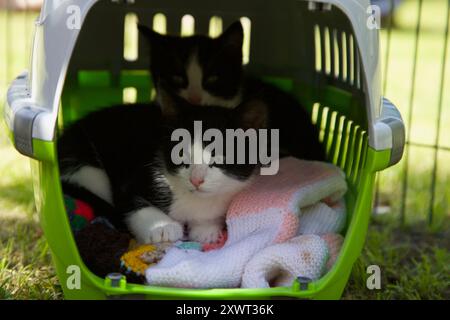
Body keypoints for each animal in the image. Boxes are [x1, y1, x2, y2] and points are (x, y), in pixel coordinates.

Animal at [56, 91, 268, 244]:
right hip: (83, 163)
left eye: (219, 157)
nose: (196, 179)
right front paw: (161, 227)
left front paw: (206, 229)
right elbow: (130, 201)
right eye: (181, 153)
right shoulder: (132, 181)